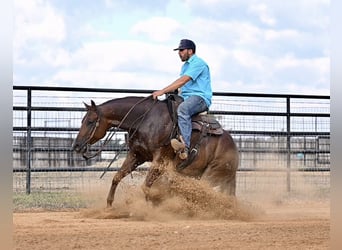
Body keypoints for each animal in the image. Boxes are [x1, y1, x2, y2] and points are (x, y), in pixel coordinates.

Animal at [72, 95, 238, 207]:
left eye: (90, 121)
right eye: (82, 120)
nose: (76, 146)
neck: (144, 120)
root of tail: (234, 147)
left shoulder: (160, 158)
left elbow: (146, 186)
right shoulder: (137, 155)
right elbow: (117, 177)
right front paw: (109, 205)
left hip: (211, 174)